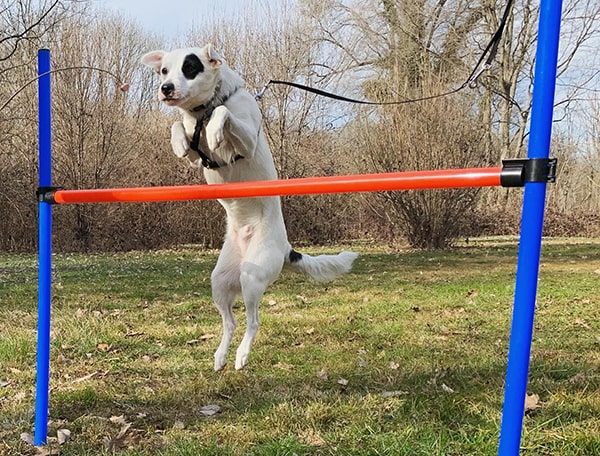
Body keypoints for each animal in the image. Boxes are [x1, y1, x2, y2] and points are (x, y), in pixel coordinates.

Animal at [141, 43, 356, 370]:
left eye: (189, 67)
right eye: (164, 70)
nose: (165, 88)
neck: (201, 111)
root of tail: (286, 247)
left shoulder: (246, 142)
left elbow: (224, 112)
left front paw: (215, 131)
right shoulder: (195, 156)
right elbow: (179, 126)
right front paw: (179, 140)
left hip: (252, 278)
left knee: (253, 321)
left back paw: (241, 355)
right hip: (220, 280)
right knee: (230, 322)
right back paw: (221, 356)